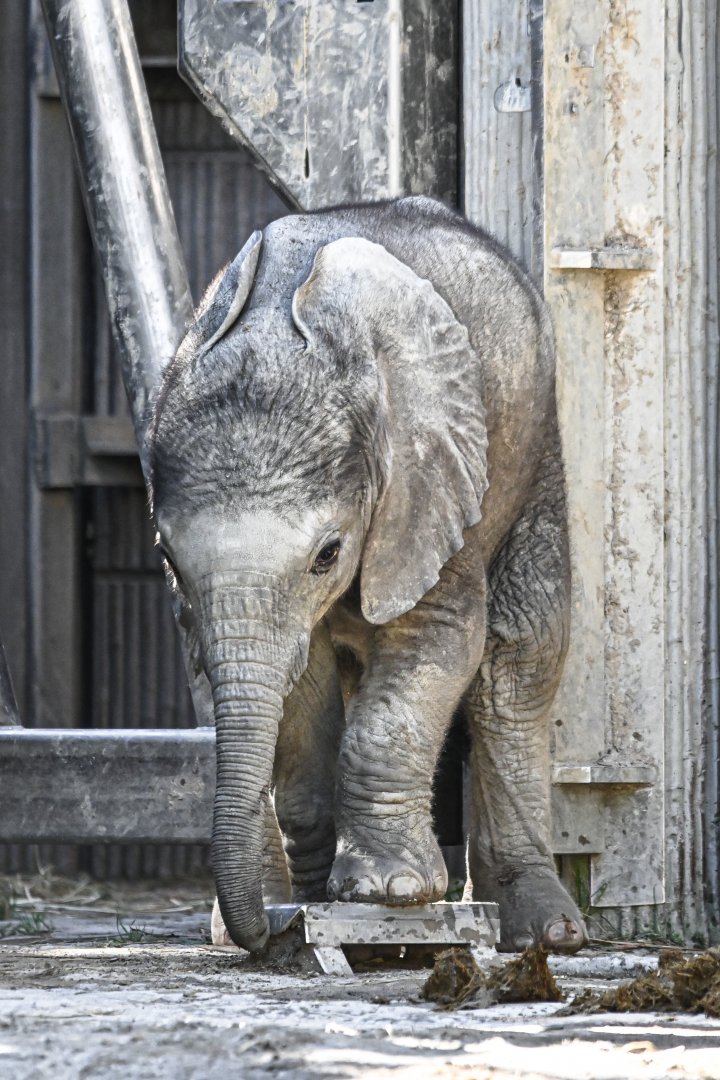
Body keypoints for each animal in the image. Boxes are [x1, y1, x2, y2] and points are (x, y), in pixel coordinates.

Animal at [149, 195, 588, 956]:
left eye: (328, 553)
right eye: (170, 559)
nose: (266, 932)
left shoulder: (433, 478)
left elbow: (443, 640)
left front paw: (391, 893)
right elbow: (302, 681)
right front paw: (315, 897)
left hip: (530, 443)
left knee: (520, 657)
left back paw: (548, 934)